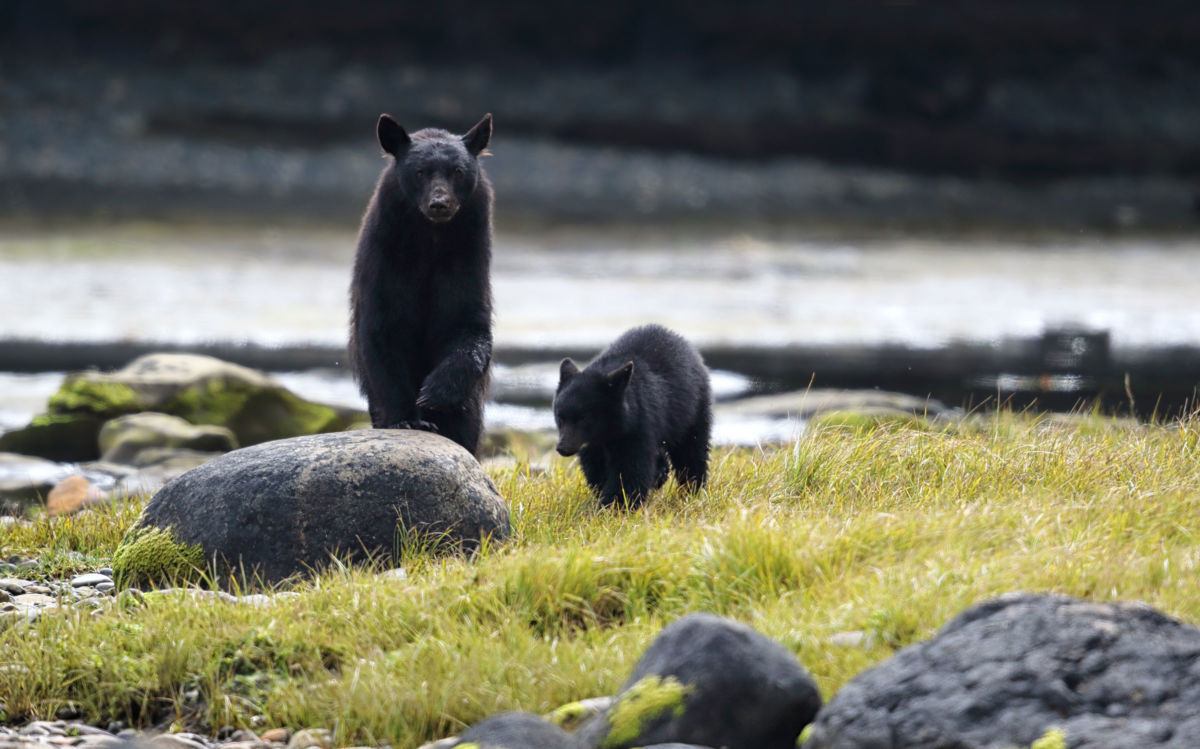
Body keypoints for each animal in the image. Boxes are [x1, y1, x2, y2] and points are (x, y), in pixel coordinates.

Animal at [350, 111, 494, 456]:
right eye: (420, 172)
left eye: (458, 171)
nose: (439, 204)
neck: (431, 240)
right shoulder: (387, 261)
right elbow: (383, 333)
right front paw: (406, 418)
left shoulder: (467, 261)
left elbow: (468, 326)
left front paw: (435, 392)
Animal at [554, 324, 710, 506]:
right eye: (560, 417)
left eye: (584, 418)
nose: (562, 447)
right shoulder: (591, 443)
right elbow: (596, 466)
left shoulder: (639, 425)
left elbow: (630, 468)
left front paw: (616, 504)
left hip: (693, 411)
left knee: (692, 451)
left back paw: (692, 490)